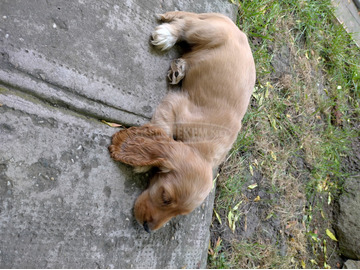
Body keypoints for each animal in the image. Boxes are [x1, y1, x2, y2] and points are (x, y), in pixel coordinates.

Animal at [108, 11, 255, 232]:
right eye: (165, 197)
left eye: (178, 213)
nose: (147, 228)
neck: (204, 151)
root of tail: (235, 27)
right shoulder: (174, 105)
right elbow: (162, 131)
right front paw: (144, 162)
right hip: (206, 32)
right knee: (186, 23)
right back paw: (167, 35)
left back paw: (179, 68)